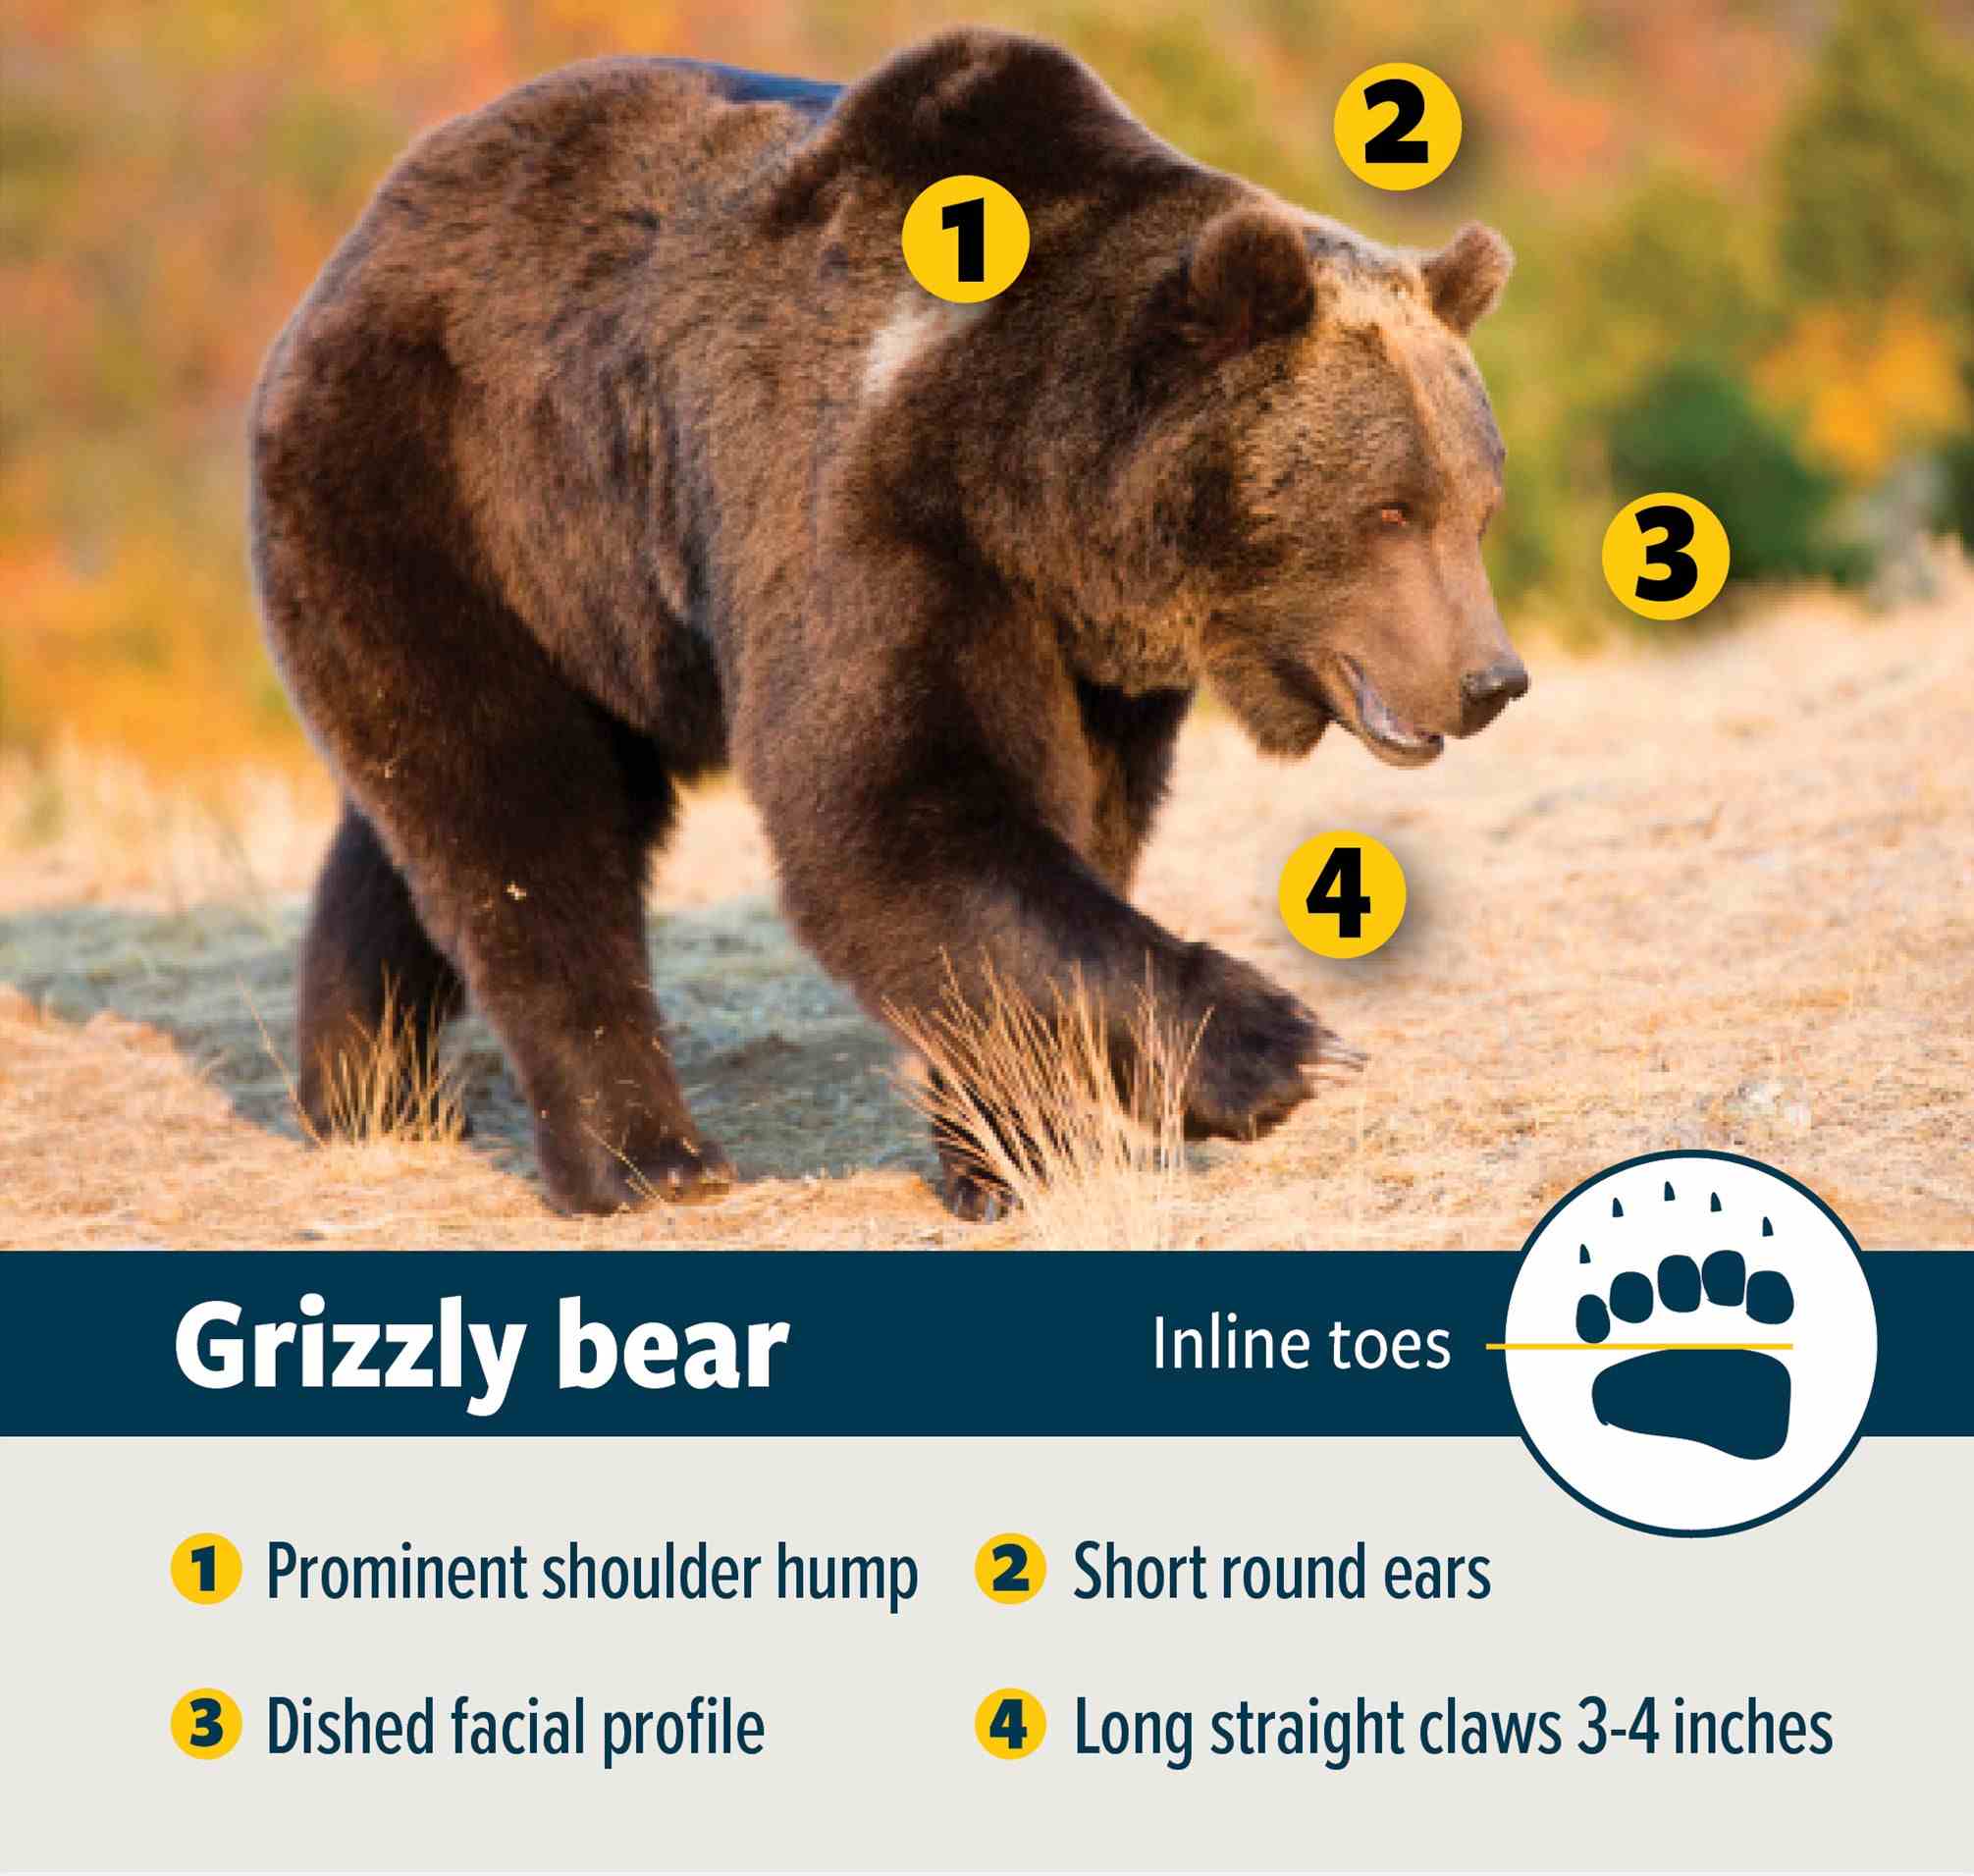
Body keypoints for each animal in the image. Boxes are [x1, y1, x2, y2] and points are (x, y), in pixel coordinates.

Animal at [248, 27, 1526, 1220]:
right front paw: (1279, 1046)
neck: (1034, 482)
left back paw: (364, 1088)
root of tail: (360, 238)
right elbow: (888, 808)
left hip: (568, 598)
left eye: (1476, 504)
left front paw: (1017, 1149)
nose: (1489, 681)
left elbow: (1066, 831)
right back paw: (646, 1158)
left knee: (421, 817)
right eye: (1388, 507)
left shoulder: (1083, 652)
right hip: (447, 485)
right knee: (519, 813)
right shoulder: (867, 512)